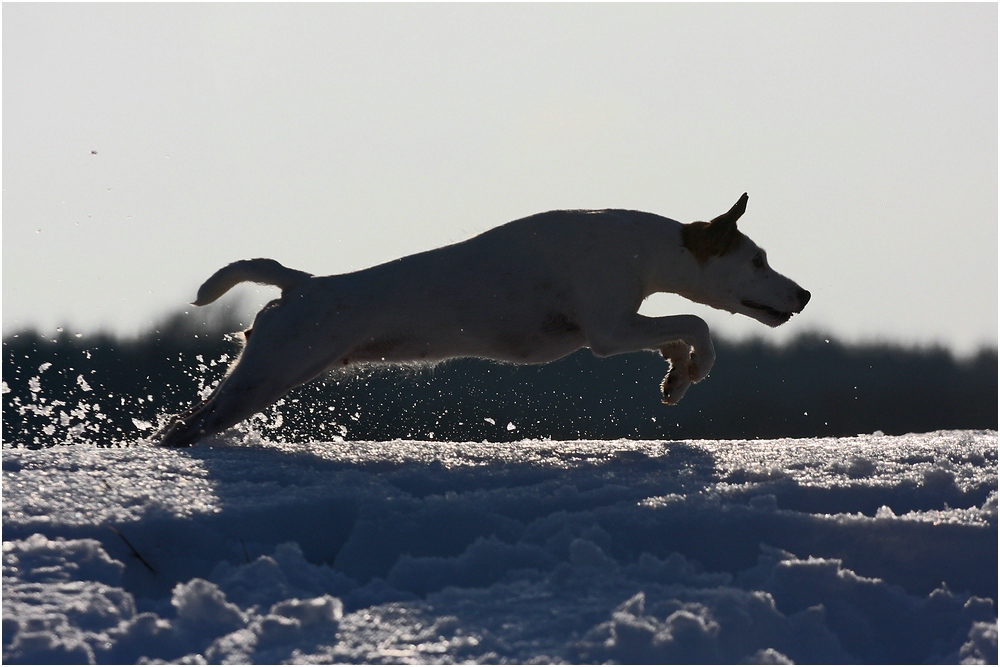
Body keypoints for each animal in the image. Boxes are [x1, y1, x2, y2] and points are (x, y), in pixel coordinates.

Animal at [158, 193, 812, 448]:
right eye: (757, 260)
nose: (805, 294)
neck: (643, 247)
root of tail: (302, 283)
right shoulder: (609, 332)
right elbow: (696, 324)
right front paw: (691, 369)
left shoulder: (624, 325)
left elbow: (679, 332)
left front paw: (676, 376)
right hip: (267, 374)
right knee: (186, 426)